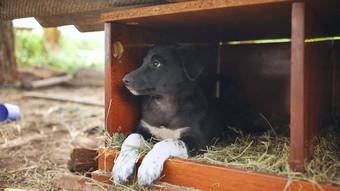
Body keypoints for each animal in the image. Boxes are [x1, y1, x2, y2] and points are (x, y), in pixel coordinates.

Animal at [111, 43, 226, 187]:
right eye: (143, 62)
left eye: (156, 63)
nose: (125, 80)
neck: (164, 105)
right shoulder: (145, 129)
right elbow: (132, 137)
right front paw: (121, 167)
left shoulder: (198, 143)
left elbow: (168, 142)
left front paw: (148, 168)